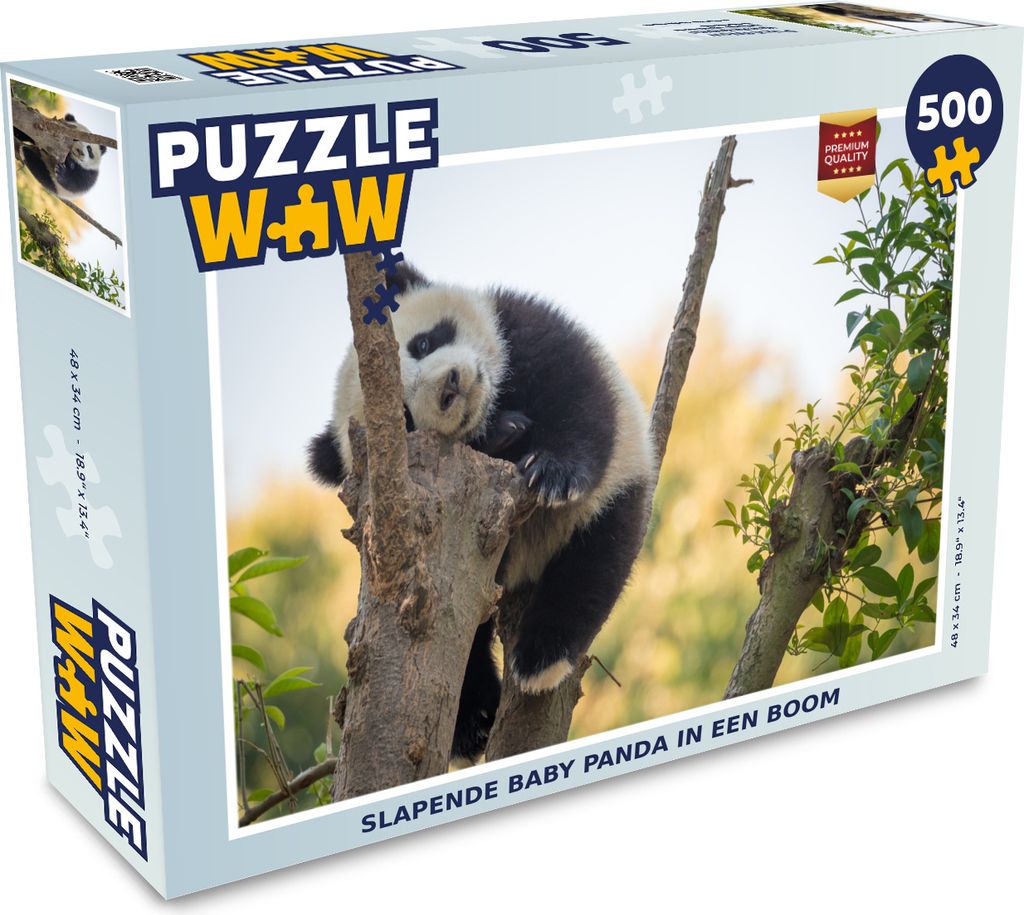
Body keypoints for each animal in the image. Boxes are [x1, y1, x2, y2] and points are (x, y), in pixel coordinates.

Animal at [309, 263, 654, 764]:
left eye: (422, 344)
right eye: (404, 419)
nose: (451, 386)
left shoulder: (523, 328)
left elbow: (577, 394)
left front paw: (553, 471)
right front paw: (505, 432)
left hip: (616, 491)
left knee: (597, 555)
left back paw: (539, 658)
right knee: (473, 632)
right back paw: (478, 718)